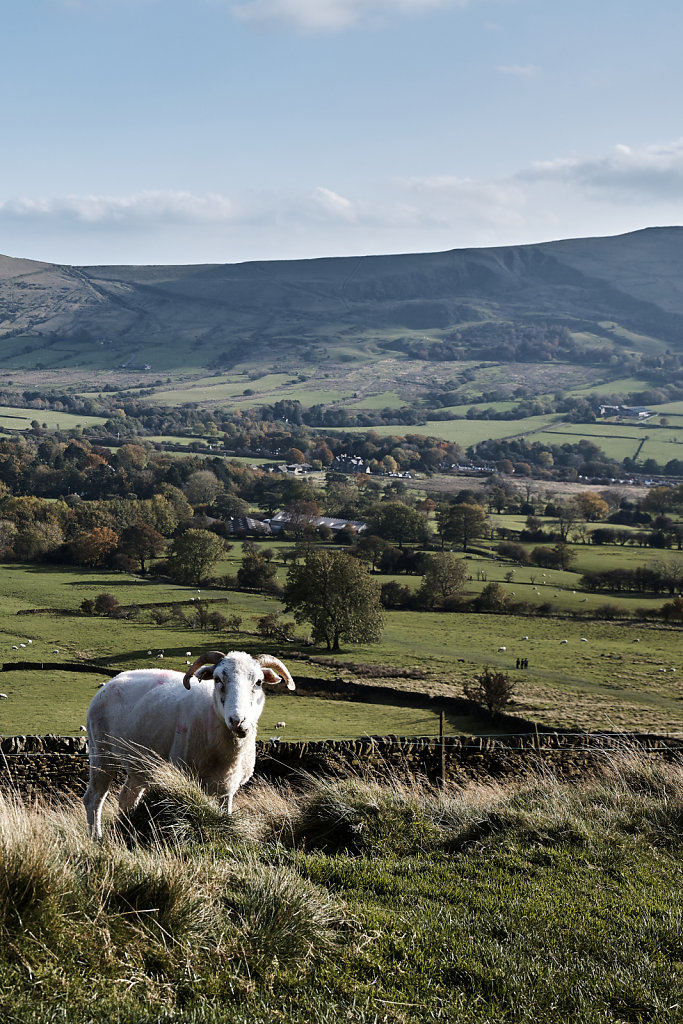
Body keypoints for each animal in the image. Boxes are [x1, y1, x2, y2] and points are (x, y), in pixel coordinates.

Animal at [81, 647, 294, 839]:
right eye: (218, 679)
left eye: (258, 682)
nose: (238, 721)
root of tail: (113, 680)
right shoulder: (186, 778)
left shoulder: (228, 789)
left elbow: (225, 817)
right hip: (101, 752)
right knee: (94, 798)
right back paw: (96, 838)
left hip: (140, 764)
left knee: (127, 798)